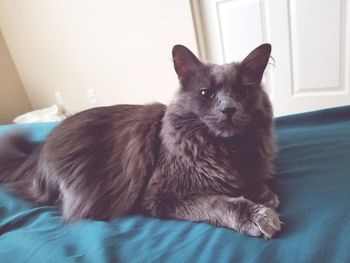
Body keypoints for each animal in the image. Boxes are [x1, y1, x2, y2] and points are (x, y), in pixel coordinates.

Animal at [0, 43, 280, 239]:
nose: (228, 109)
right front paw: (258, 215)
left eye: (242, 91)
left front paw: (263, 194)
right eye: (206, 94)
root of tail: (38, 151)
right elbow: (217, 202)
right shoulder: (160, 194)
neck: (226, 149)